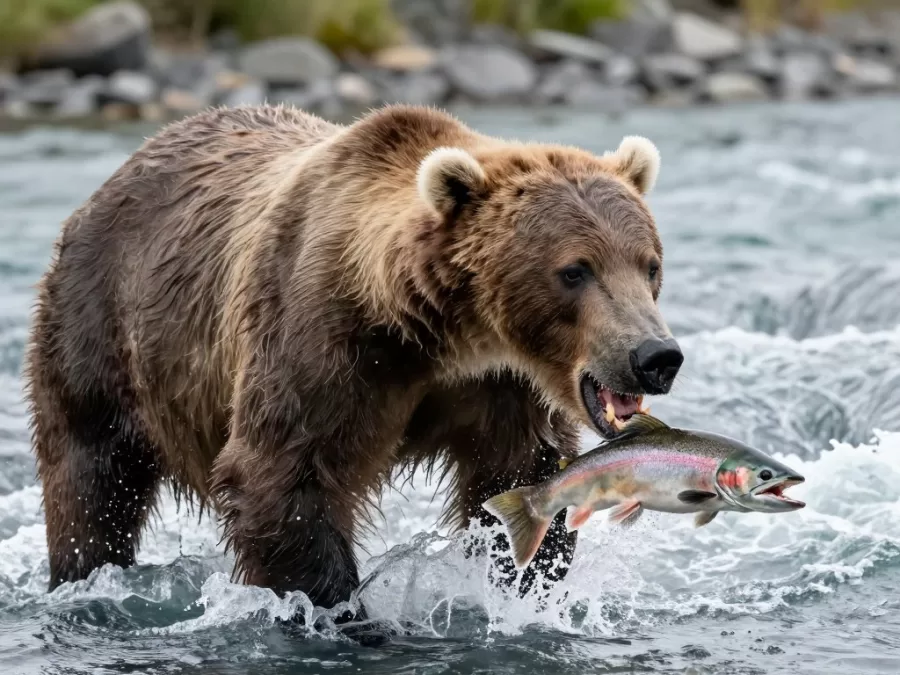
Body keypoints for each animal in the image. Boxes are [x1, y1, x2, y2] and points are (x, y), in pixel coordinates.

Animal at [25, 104, 682, 617]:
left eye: (649, 264)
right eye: (575, 270)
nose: (655, 356)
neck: (441, 334)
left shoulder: (501, 387)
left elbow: (517, 476)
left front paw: (520, 585)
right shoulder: (324, 347)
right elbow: (280, 479)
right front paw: (343, 612)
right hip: (100, 332)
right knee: (91, 480)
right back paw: (84, 575)